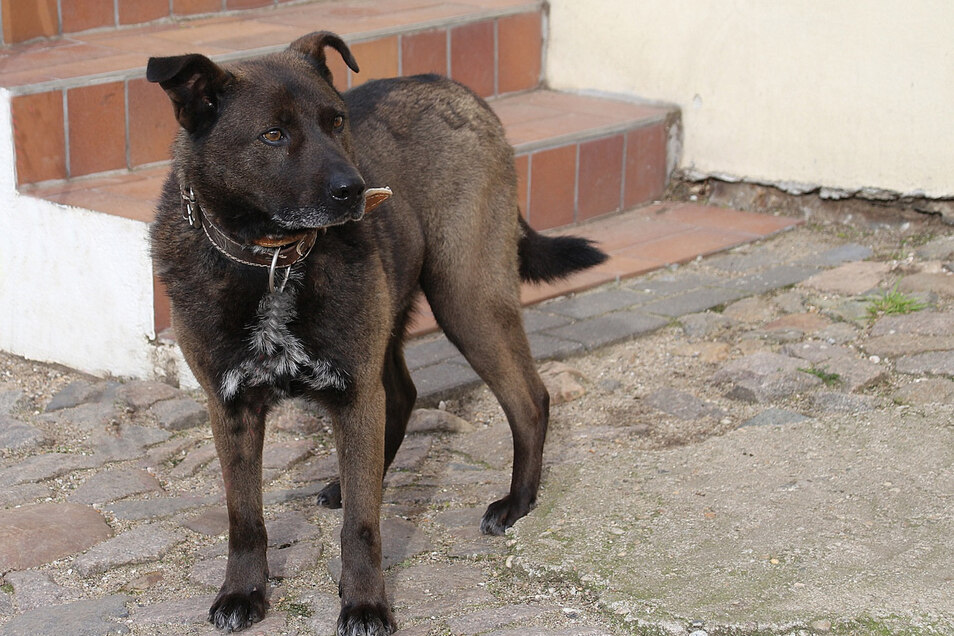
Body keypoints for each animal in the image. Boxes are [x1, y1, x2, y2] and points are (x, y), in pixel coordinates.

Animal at [147, 32, 608, 632]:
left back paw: (517, 503)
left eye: (337, 121)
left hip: (466, 298)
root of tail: (451, 86)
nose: (355, 190)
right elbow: (244, 517)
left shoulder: (353, 391)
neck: (274, 262)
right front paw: (243, 592)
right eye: (273, 134)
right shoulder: (232, 406)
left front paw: (364, 602)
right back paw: (349, 484)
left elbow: (363, 527)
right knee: (404, 396)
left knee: (529, 399)